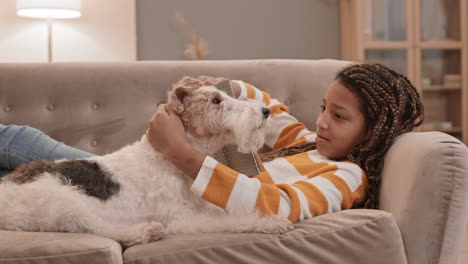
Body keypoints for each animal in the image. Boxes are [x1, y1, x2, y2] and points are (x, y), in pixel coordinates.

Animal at [0, 76, 292, 248]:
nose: (265, 111)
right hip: (63, 200)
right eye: (216, 101)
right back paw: (146, 231)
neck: (168, 159)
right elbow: (234, 219)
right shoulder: (182, 218)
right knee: (97, 227)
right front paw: (271, 223)